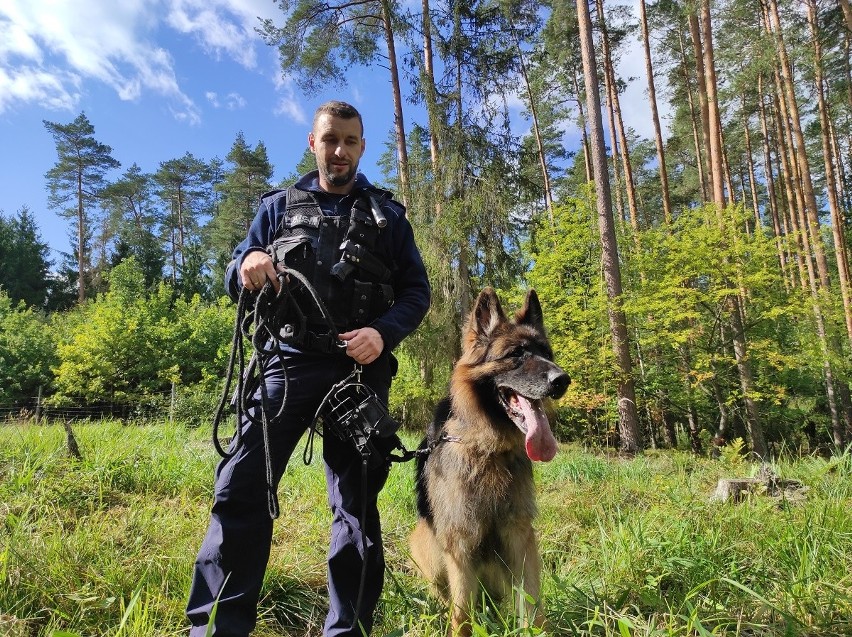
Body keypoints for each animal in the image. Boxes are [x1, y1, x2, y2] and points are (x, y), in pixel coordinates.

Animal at [410, 290, 568, 636]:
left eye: (546, 352)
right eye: (516, 354)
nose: (563, 380)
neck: (488, 448)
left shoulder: (519, 533)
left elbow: (532, 604)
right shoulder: (459, 542)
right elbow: (461, 613)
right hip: (427, 546)